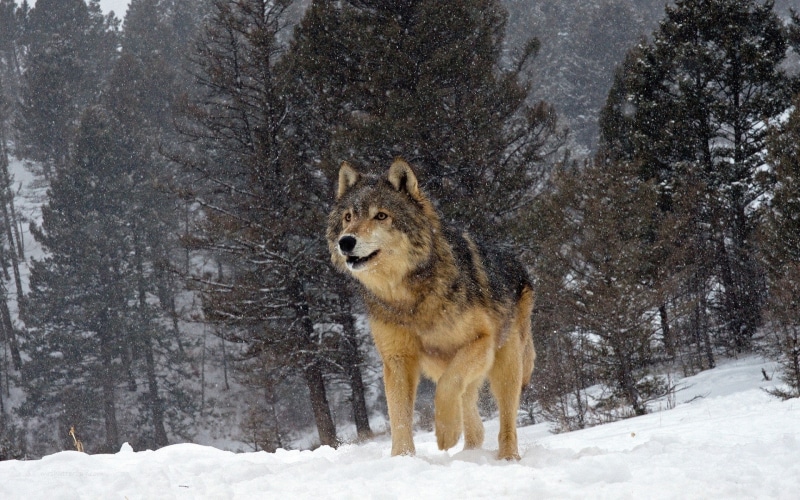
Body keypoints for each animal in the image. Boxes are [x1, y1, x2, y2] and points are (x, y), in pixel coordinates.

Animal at [327, 158, 535, 460]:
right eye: (348, 217)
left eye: (381, 216)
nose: (346, 241)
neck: (409, 299)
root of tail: (517, 262)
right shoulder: (397, 359)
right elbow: (400, 417)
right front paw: (403, 459)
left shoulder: (480, 341)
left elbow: (448, 385)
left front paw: (446, 433)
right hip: (444, 365)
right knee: (471, 411)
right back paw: (469, 451)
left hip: (505, 365)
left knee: (504, 418)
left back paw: (507, 457)